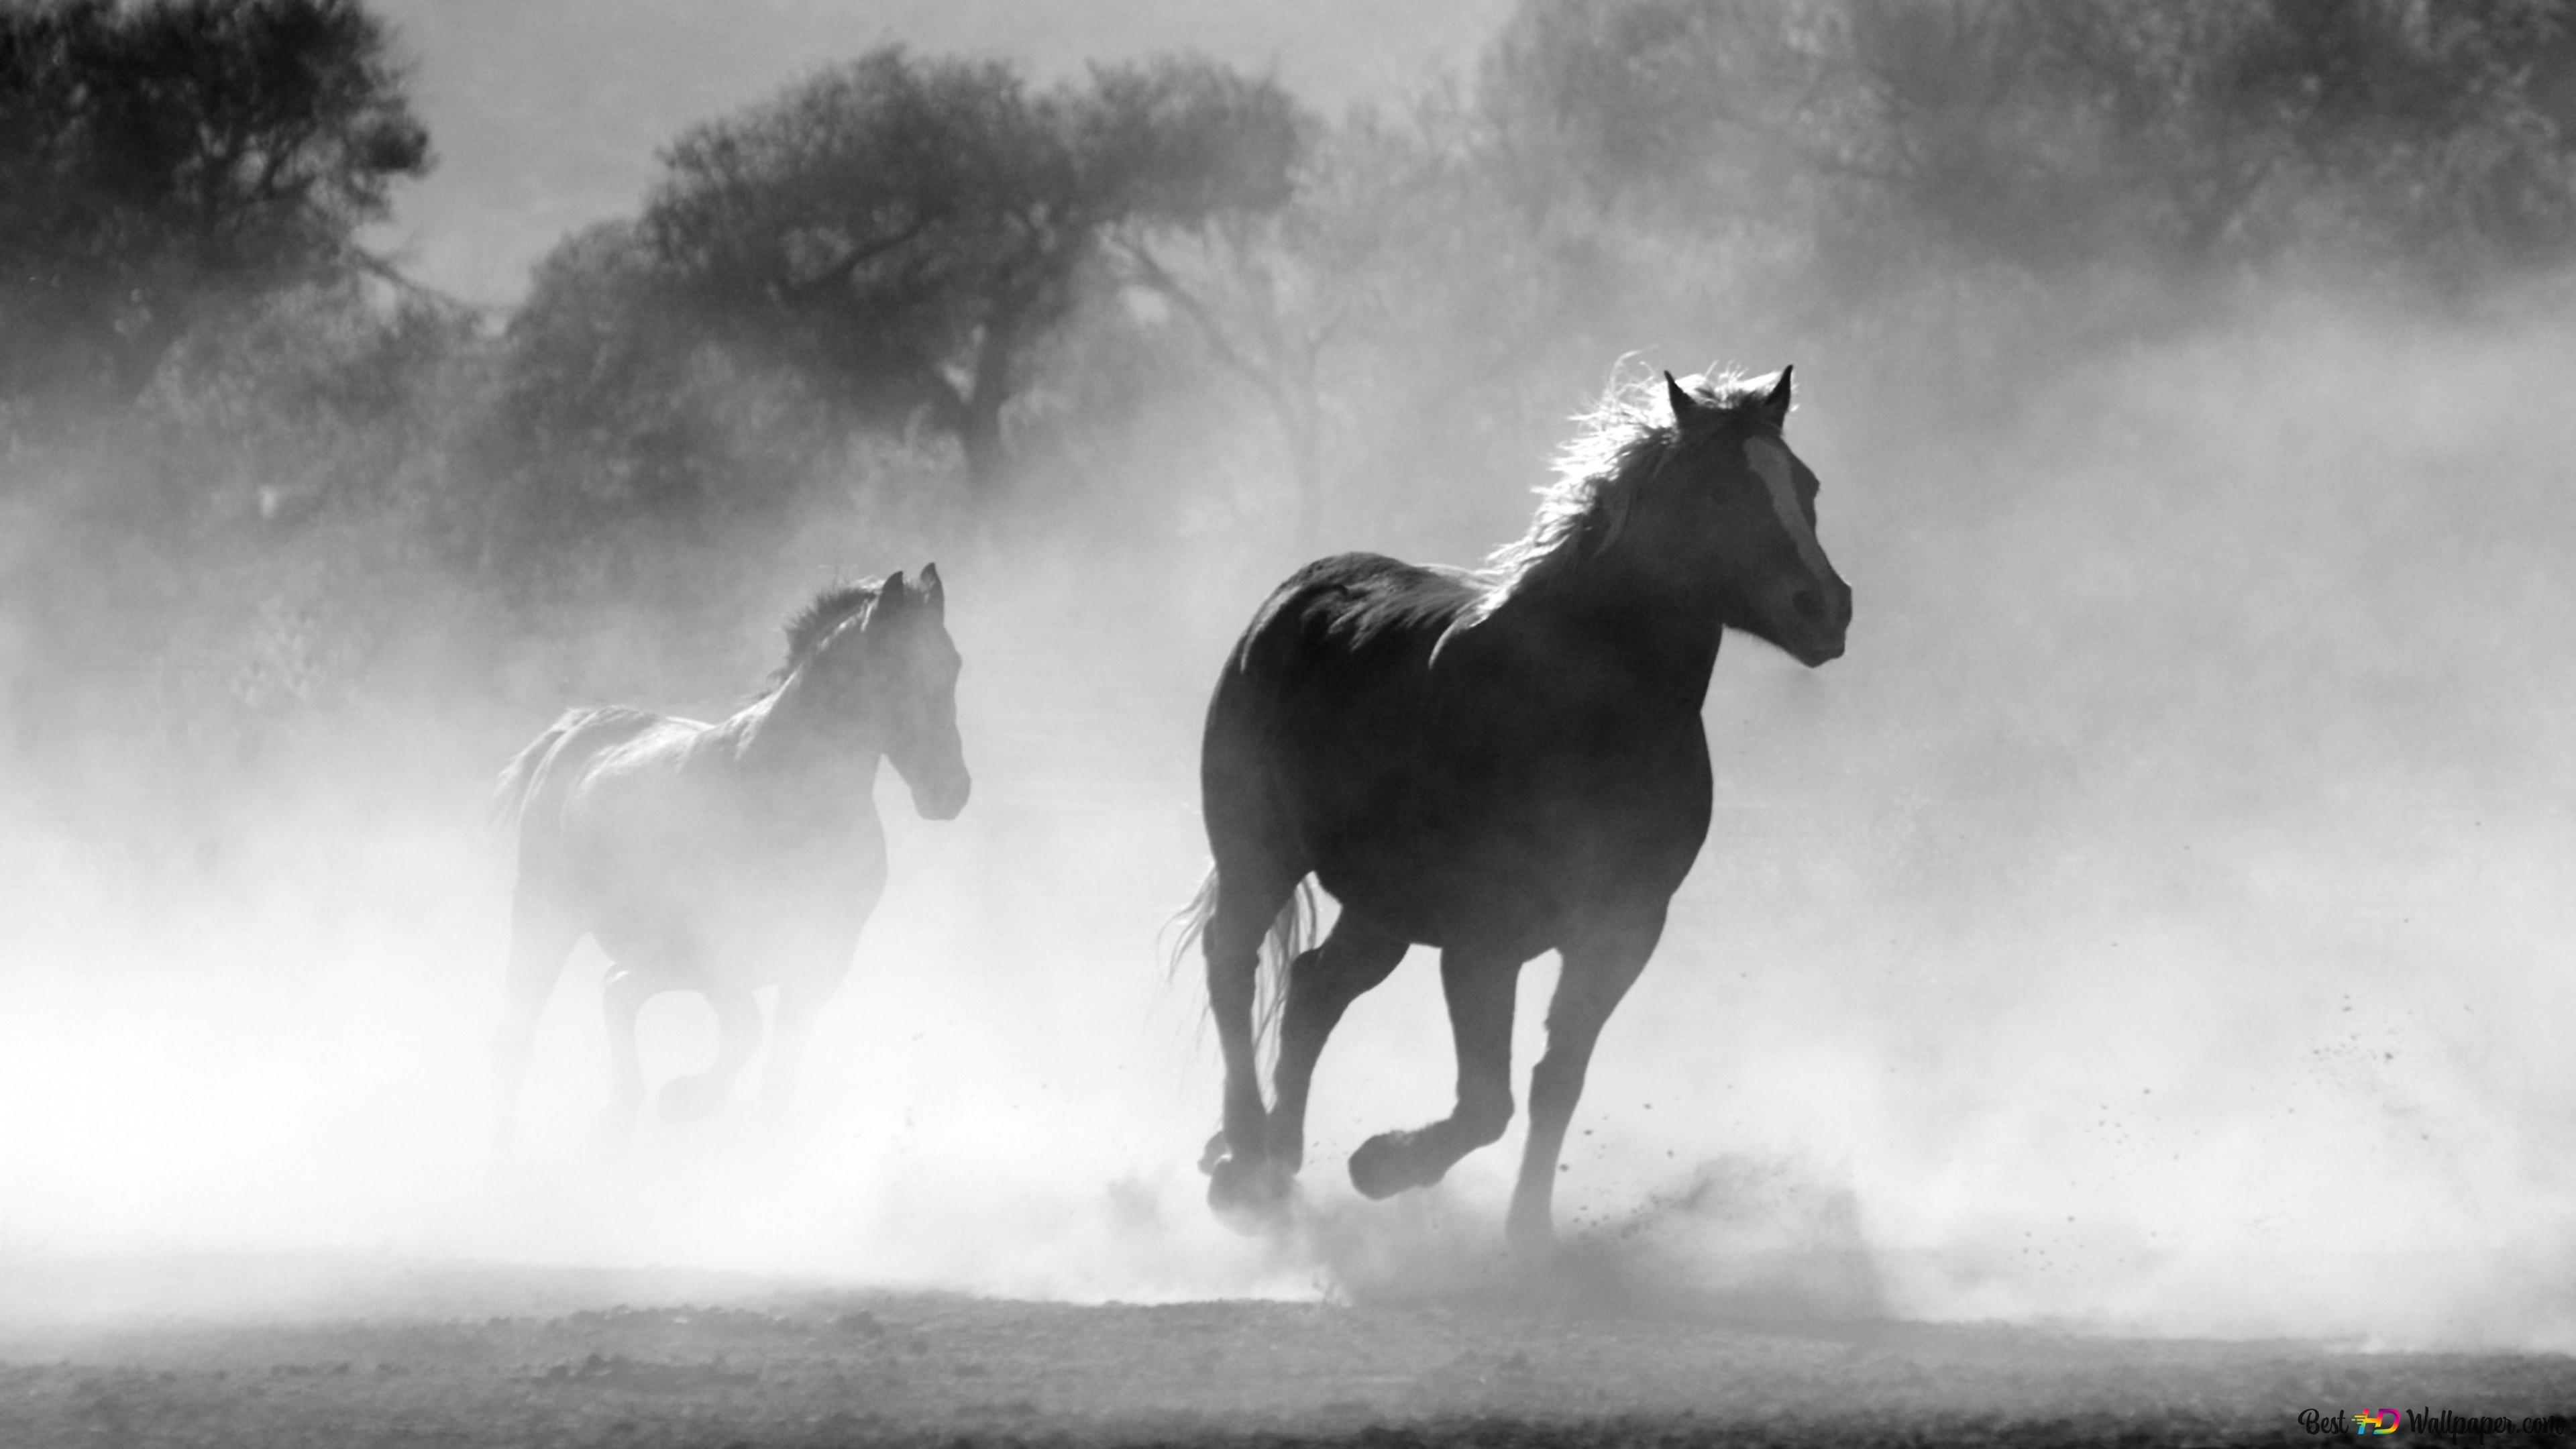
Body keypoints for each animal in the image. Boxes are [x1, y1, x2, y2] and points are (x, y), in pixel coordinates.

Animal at [490, 567, 968, 1146]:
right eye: (896, 670)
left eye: (953, 665)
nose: (950, 792)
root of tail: (574, 731)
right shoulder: (718, 952)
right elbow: (745, 1031)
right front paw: (688, 1099)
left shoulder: (822, 961)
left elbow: (779, 1071)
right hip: (546, 916)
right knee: (525, 1027)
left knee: (616, 991)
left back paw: (619, 1115)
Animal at [1177, 367, 1851, 1255]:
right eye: (1716, 491)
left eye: (1805, 486)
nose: (1827, 609)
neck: (1580, 712)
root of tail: (1294, 597)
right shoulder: (1483, 941)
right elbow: (1487, 1102)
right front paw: (1382, 1165)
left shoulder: (1621, 931)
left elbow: (1555, 1081)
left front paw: (1528, 1235)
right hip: (1260, 854)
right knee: (1233, 966)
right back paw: (1246, 1162)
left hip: (1381, 908)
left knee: (1314, 987)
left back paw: (1281, 1163)